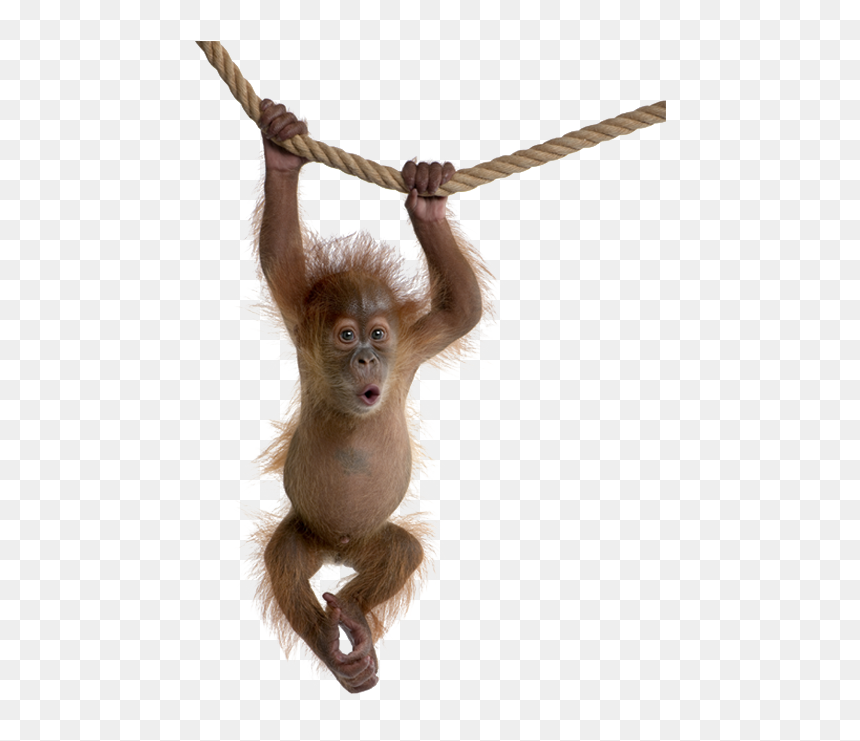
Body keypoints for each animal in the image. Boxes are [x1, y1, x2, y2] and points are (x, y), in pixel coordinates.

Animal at [247, 100, 490, 692]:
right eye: (346, 336)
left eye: (378, 334)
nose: (365, 359)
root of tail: (339, 550)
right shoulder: (301, 322)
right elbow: (278, 255)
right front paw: (281, 153)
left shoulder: (413, 348)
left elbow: (463, 309)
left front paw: (428, 199)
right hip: (307, 533)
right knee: (284, 561)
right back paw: (336, 649)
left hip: (371, 540)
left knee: (402, 551)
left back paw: (355, 620)